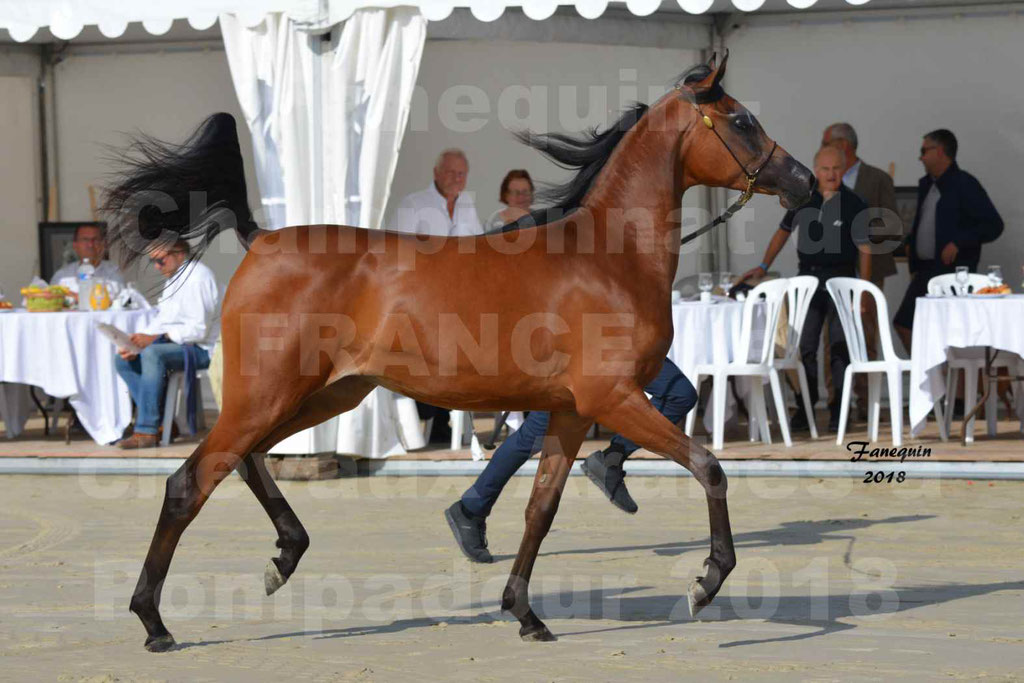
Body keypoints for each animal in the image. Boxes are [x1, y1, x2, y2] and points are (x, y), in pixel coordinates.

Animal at [101, 53, 806, 651]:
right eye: (741, 120)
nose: (802, 184)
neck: (610, 256)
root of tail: (261, 239)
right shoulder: (615, 398)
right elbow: (709, 466)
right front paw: (706, 582)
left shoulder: (572, 411)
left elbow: (540, 509)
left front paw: (525, 615)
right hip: (268, 394)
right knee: (190, 483)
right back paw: (154, 621)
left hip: (325, 394)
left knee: (246, 460)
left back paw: (284, 555)